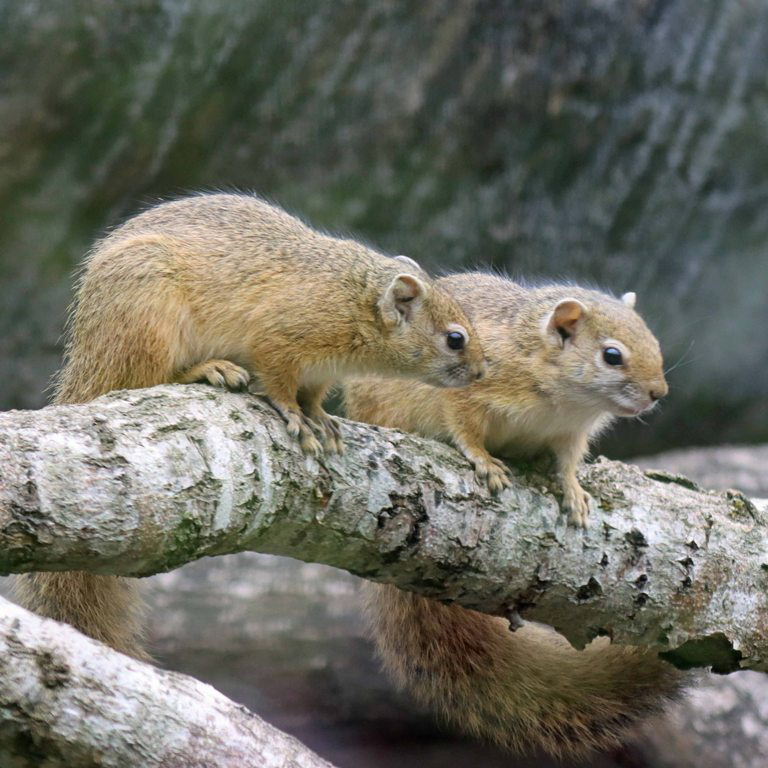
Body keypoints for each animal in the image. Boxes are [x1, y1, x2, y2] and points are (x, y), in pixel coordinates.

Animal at [15, 193, 486, 659]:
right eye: (455, 338)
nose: (483, 372)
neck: (355, 298)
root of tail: (89, 359)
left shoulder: (320, 372)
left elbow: (312, 396)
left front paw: (321, 419)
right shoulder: (278, 338)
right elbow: (278, 382)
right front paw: (295, 417)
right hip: (149, 316)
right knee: (150, 377)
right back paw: (211, 369)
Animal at [344, 272, 683, 758]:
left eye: (653, 340)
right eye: (612, 355)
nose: (659, 393)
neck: (562, 399)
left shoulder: (570, 435)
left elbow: (567, 464)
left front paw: (575, 491)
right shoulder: (469, 390)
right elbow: (463, 427)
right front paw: (484, 462)